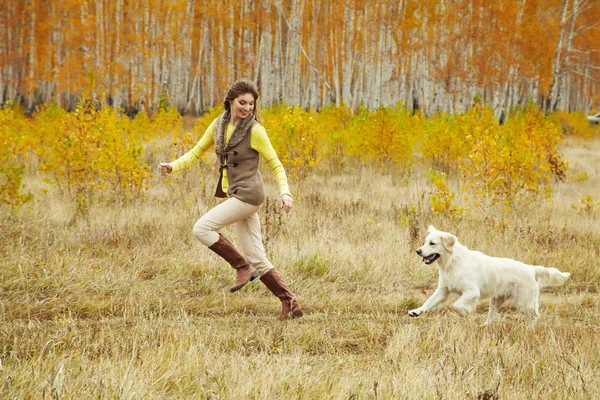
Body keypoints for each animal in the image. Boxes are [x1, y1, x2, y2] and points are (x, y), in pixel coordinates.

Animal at [408, 225, 572, 328]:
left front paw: (465, 312)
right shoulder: (443, 290)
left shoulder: (472, 292)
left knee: (534, 316)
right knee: (492, 317)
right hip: (496, 301)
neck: (452, 262)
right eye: (424, 242)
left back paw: (529, 330)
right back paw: (483, 327)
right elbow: (428, 302)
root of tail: (531, 269)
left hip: (524, 302)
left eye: (432, 243)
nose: (418, 251)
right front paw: (416, 311)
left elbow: (456, 305)